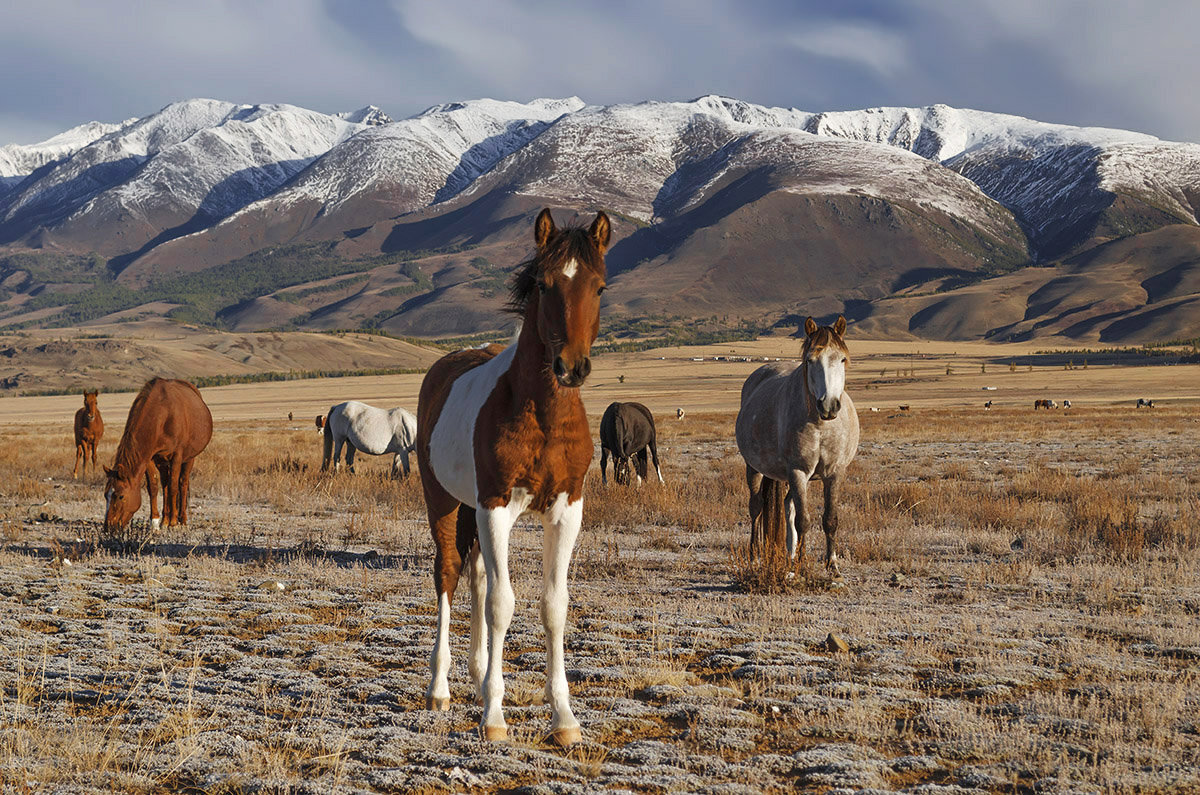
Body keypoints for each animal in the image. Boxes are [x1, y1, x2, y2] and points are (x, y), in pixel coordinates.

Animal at [103, 381, 213, 533]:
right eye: (105, 495)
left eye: (120, 496)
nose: (108, 528)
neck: (163, 416)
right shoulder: (149, 458)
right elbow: (154, 487)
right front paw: (155, 522)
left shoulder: (177, 457)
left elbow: (174, 487)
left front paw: (174, 523)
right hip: (162, 462)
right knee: (165, 484)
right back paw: (165, 520)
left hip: (189, 459)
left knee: (182, 484)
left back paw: (182, 520)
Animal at [420, 206, 609, 749]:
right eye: (544, 284)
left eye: (599, 287)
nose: (571, 367)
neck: (543, 413)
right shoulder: (496, 504)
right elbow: (503, 604)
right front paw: (494, 716)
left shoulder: (567, 509)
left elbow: (553, 606)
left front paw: (564, 717)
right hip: (443, 502)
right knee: (449, 575)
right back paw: (441, 687)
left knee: (478, 577)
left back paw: (477, 671)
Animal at [734, 317, 859, 578]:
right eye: (810, 361)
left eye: (842, 359)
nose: (829, 405)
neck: (821, 425)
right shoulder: (798, 472)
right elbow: (804, 520)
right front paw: (802, 564)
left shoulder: (835, 473)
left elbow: (830, 519)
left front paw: (832, 564)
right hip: (755, 468)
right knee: (756, 507)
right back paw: (755, 555)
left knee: (786, 505)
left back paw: (789, 555)